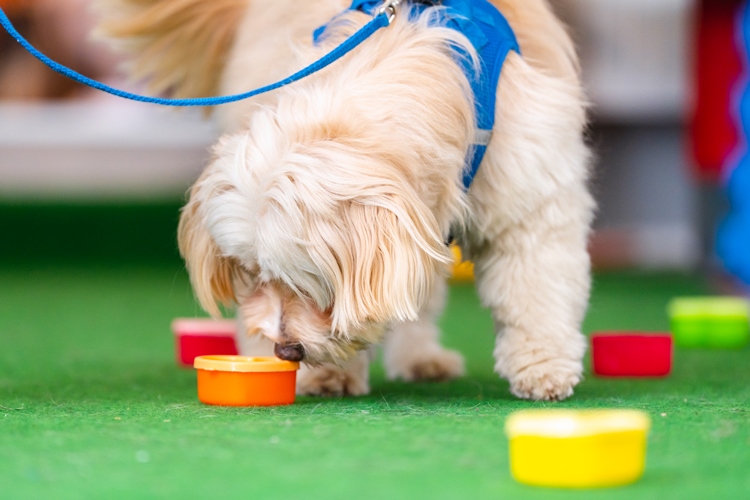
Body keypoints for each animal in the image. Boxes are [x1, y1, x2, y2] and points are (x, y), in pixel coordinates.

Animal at [98, 0, 592, 398]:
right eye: (254, 275)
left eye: (309, 283)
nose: (285, 350)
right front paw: (324, 376)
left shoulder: (529, 199)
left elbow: (535, 290)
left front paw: (543, 367)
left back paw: (420, 357)